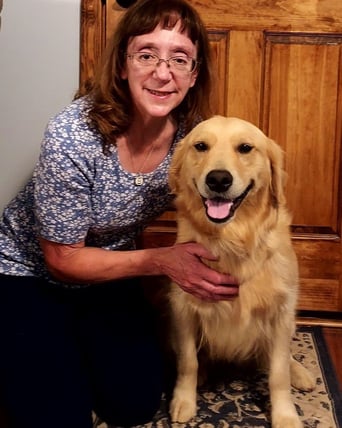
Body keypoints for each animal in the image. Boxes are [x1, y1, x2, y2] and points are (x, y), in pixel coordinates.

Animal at [168, 115, 316, 426]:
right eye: (201, 146)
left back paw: (300, 373)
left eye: (245, 148)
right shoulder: (183, 307)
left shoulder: (281, 312)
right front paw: (184, 400)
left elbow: (278, 373)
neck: (231, 239)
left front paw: (285, 415)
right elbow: (188, 361)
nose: (218, 179)